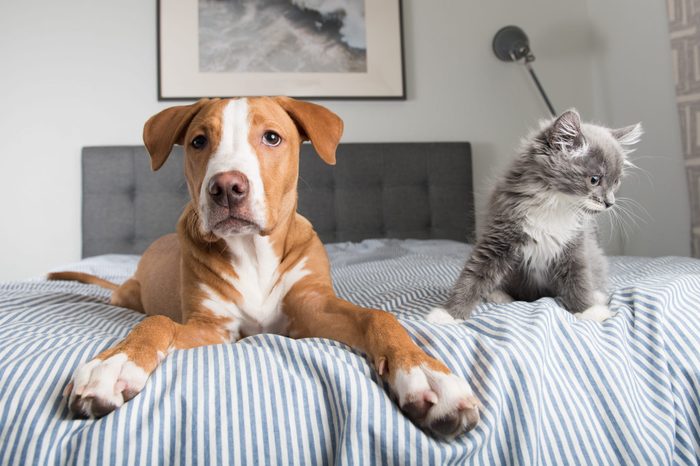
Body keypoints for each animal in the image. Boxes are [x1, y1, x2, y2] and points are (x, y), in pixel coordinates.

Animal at [52, 96, 482, 438]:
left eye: (272, 137)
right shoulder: (211, 327)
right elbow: (157, 323)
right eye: (198, 141)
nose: (226, 187)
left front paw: (426, 373)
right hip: (129, 293)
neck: (251, 251)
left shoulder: (311, 309)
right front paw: (114, 364)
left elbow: (379, 317)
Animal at [440, 110, 644, 320]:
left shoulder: (574, 245)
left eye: (616, 182)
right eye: (594, 180)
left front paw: (589, 311)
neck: (556, 205)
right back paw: (498, 295)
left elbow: (579, 279)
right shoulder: (499, 235)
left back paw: (598, 296)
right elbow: (475, 274)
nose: (610, 203)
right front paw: (449, 314)